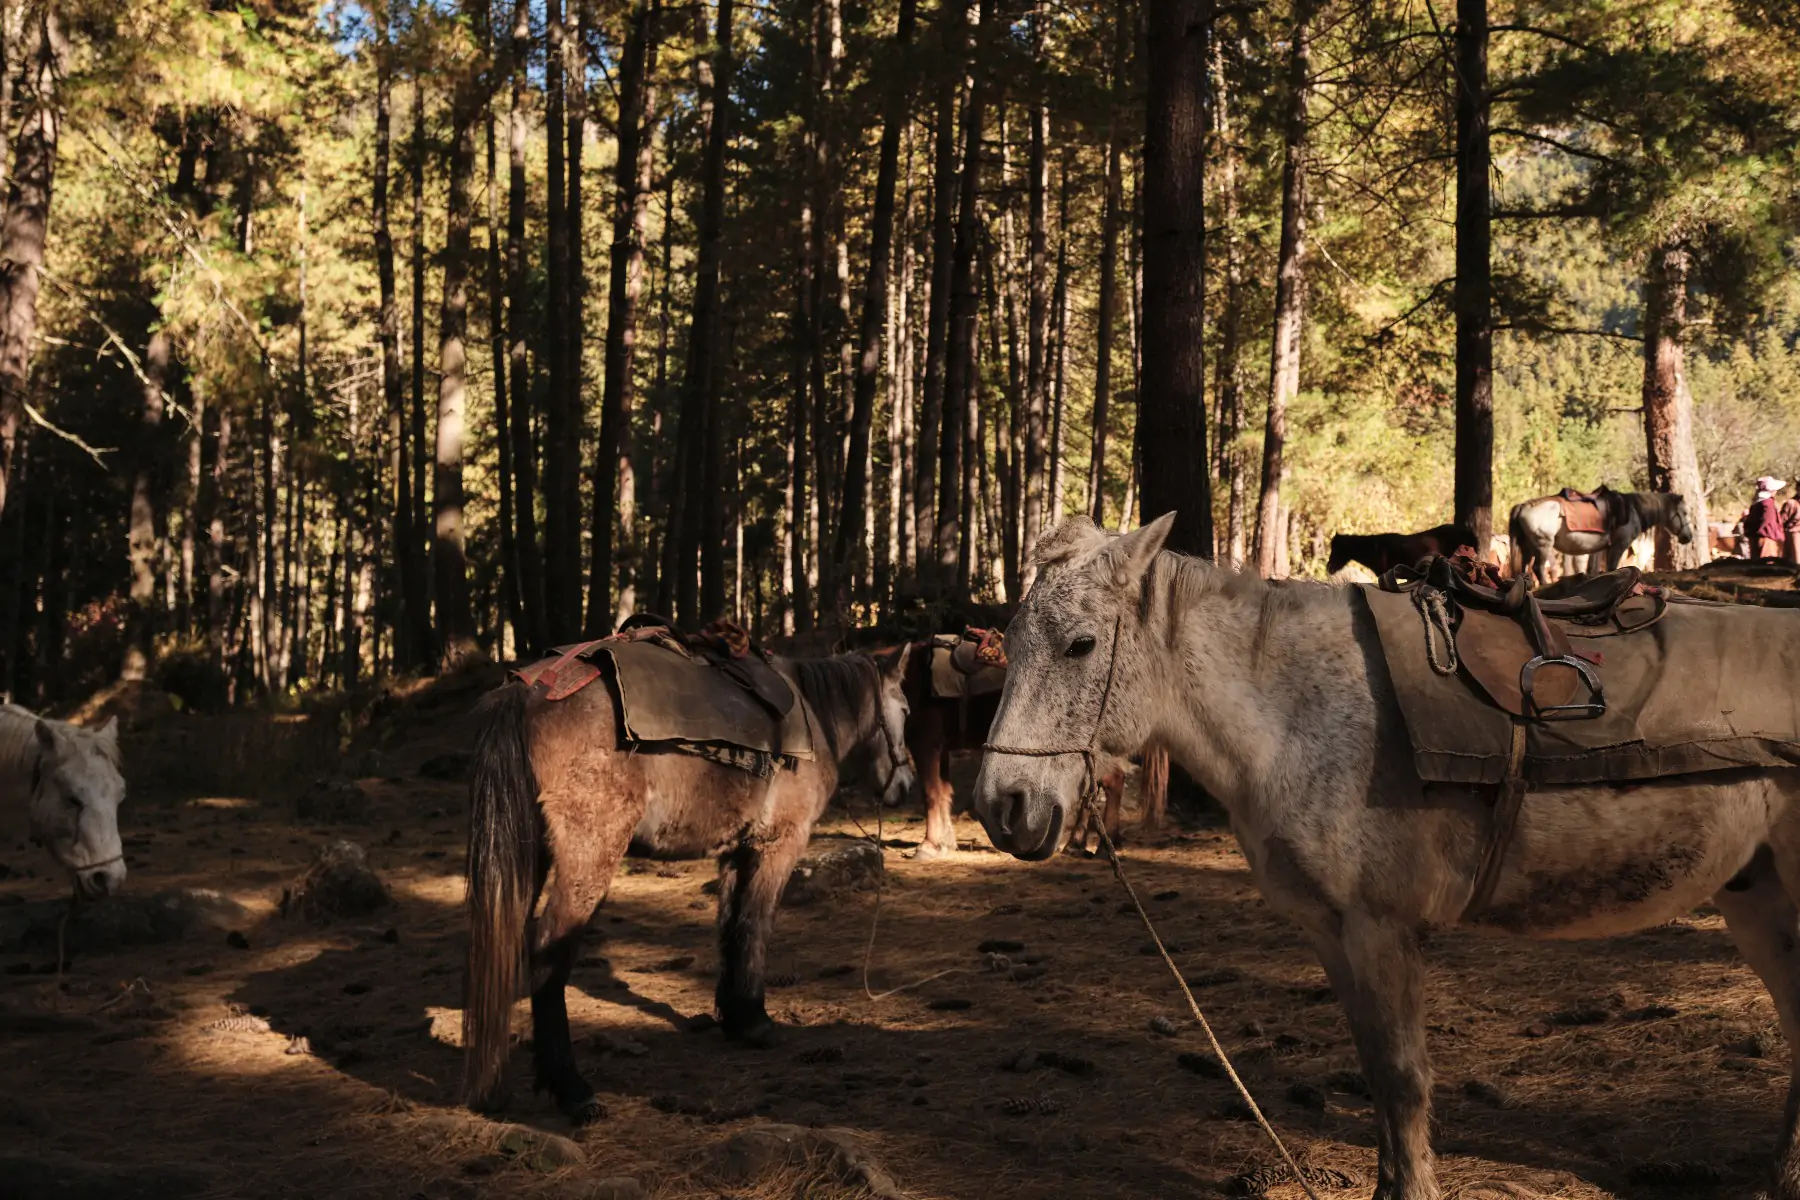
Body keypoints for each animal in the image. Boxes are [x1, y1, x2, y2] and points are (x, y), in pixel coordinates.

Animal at [460, 647, 914, 1129]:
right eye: (906, 709)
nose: (905, 786)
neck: (813, 719)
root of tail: (525, 695)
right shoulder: (778, 845)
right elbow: (756, 924)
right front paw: (756, 1021)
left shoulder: (735, 853)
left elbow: (732, 928)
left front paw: (736, 1016)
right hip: (588, 860)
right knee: (548, 949)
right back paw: (571, 1088)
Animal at [979, 510, 1800, 1194]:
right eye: (1009, 643)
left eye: (1081, 644)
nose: (1003, 806)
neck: (1295, 712)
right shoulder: (1331, 932)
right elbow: (1375, 1071)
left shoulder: (1381, 927)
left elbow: (1404, 1077)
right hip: (1758, 898)